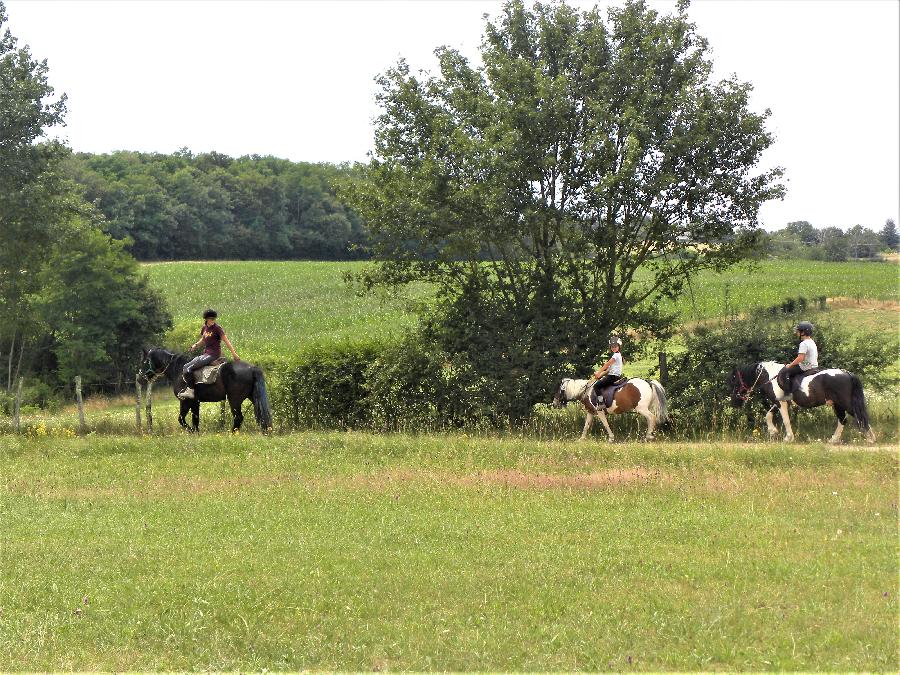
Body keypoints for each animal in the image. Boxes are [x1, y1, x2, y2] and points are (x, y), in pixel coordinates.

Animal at [141, 348, 272, 434]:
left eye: (145, 361)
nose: (141, 376)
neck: (178, 370)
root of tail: (252, 368)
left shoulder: (185, 401)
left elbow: (181, 419)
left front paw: (191, 431)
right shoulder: (195, 402)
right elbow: (195, 419)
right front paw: (196, 432)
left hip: (234, 399)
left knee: (238, 417)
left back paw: (232, 433)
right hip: (252, 397)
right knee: (260, 413)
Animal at [728, 362, 876, 446]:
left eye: (735, 381)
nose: (734, 403)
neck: (770, 377)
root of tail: (847, 373)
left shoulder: (781, 402)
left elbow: (785, 420)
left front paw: (788, 438)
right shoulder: (778, 402)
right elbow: (768, 415)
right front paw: (773, 431)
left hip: (845, 403)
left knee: (860, 417)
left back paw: (871, 439)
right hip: (837, 404)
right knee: (843, 420)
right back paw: (834, 440)